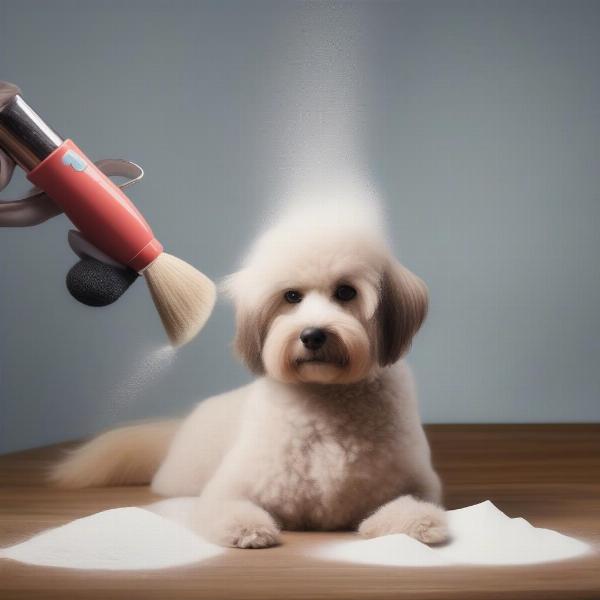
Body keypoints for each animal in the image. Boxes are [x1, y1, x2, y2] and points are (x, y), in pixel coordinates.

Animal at [52, 198, 446, 548]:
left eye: (346, 292)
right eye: (291, 296)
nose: (313, 334)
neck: (326, 399)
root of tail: (179, 427)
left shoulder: (415, 483)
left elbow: (409, 504)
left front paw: (419, 523)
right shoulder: (229, 488)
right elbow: (227, 507)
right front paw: (247, 529)